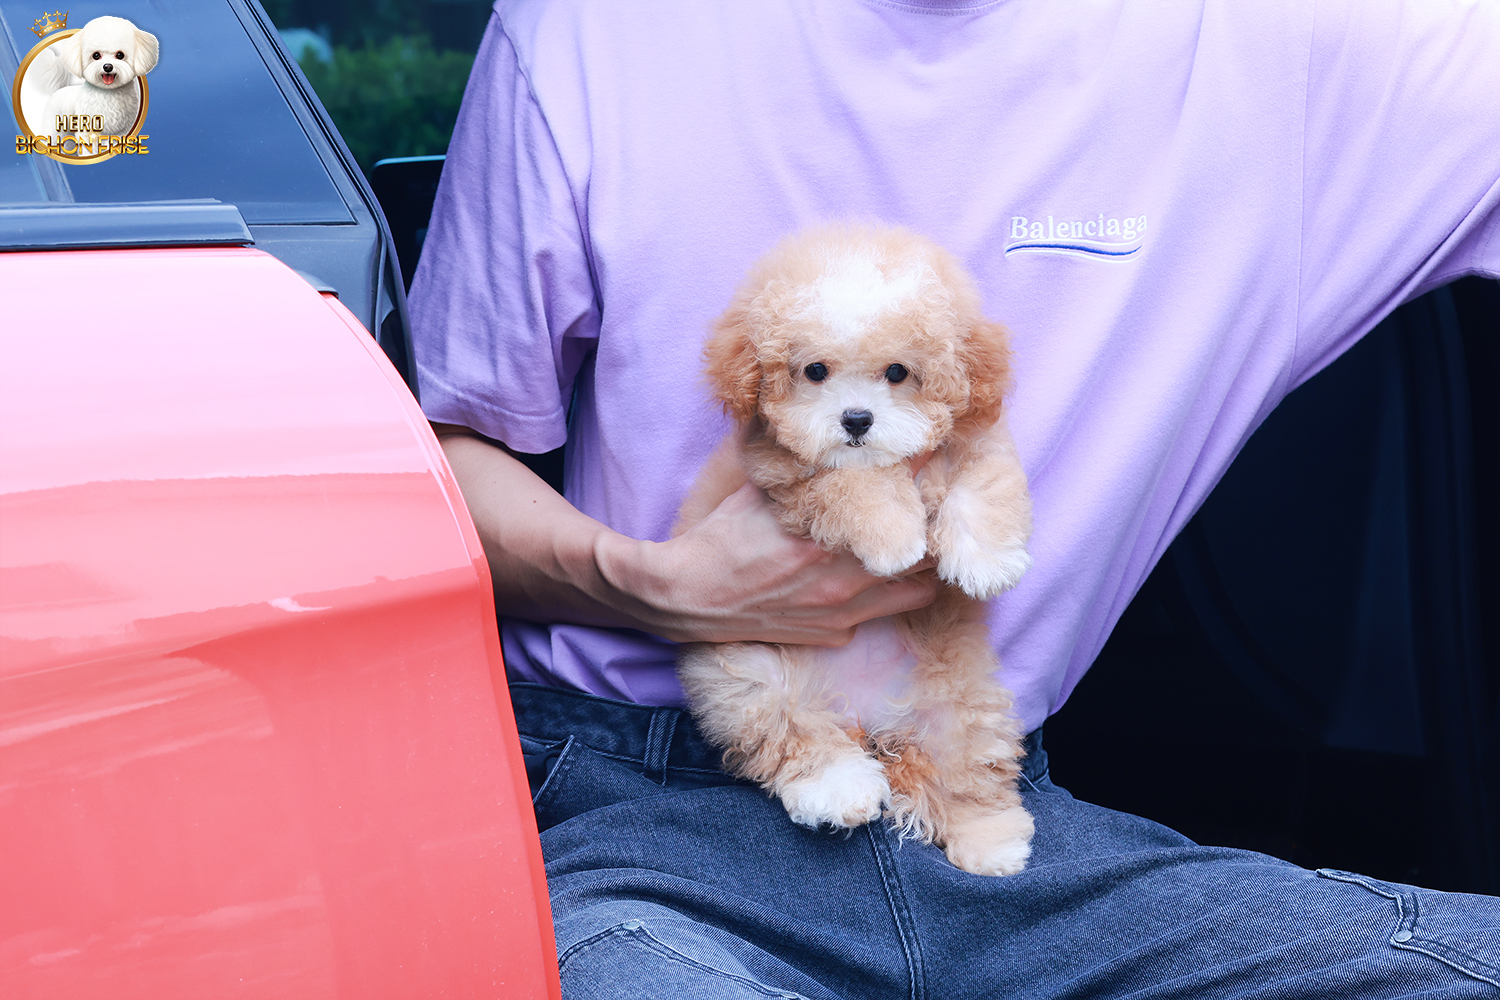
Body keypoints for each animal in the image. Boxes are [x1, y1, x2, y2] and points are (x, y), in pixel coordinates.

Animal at [675, 225, 1036, 875]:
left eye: (898, 372)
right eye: (815, 370)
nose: (857, 420)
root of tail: (867, 721)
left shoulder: (977, 438)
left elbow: (985, 481)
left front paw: (988, 561)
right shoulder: (786, 475)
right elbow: (850, 483)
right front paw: (895, 536)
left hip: (960, 701)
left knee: (967, 770)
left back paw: (992, 839)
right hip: (748, 676)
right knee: (793, 737)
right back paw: (840, 789)